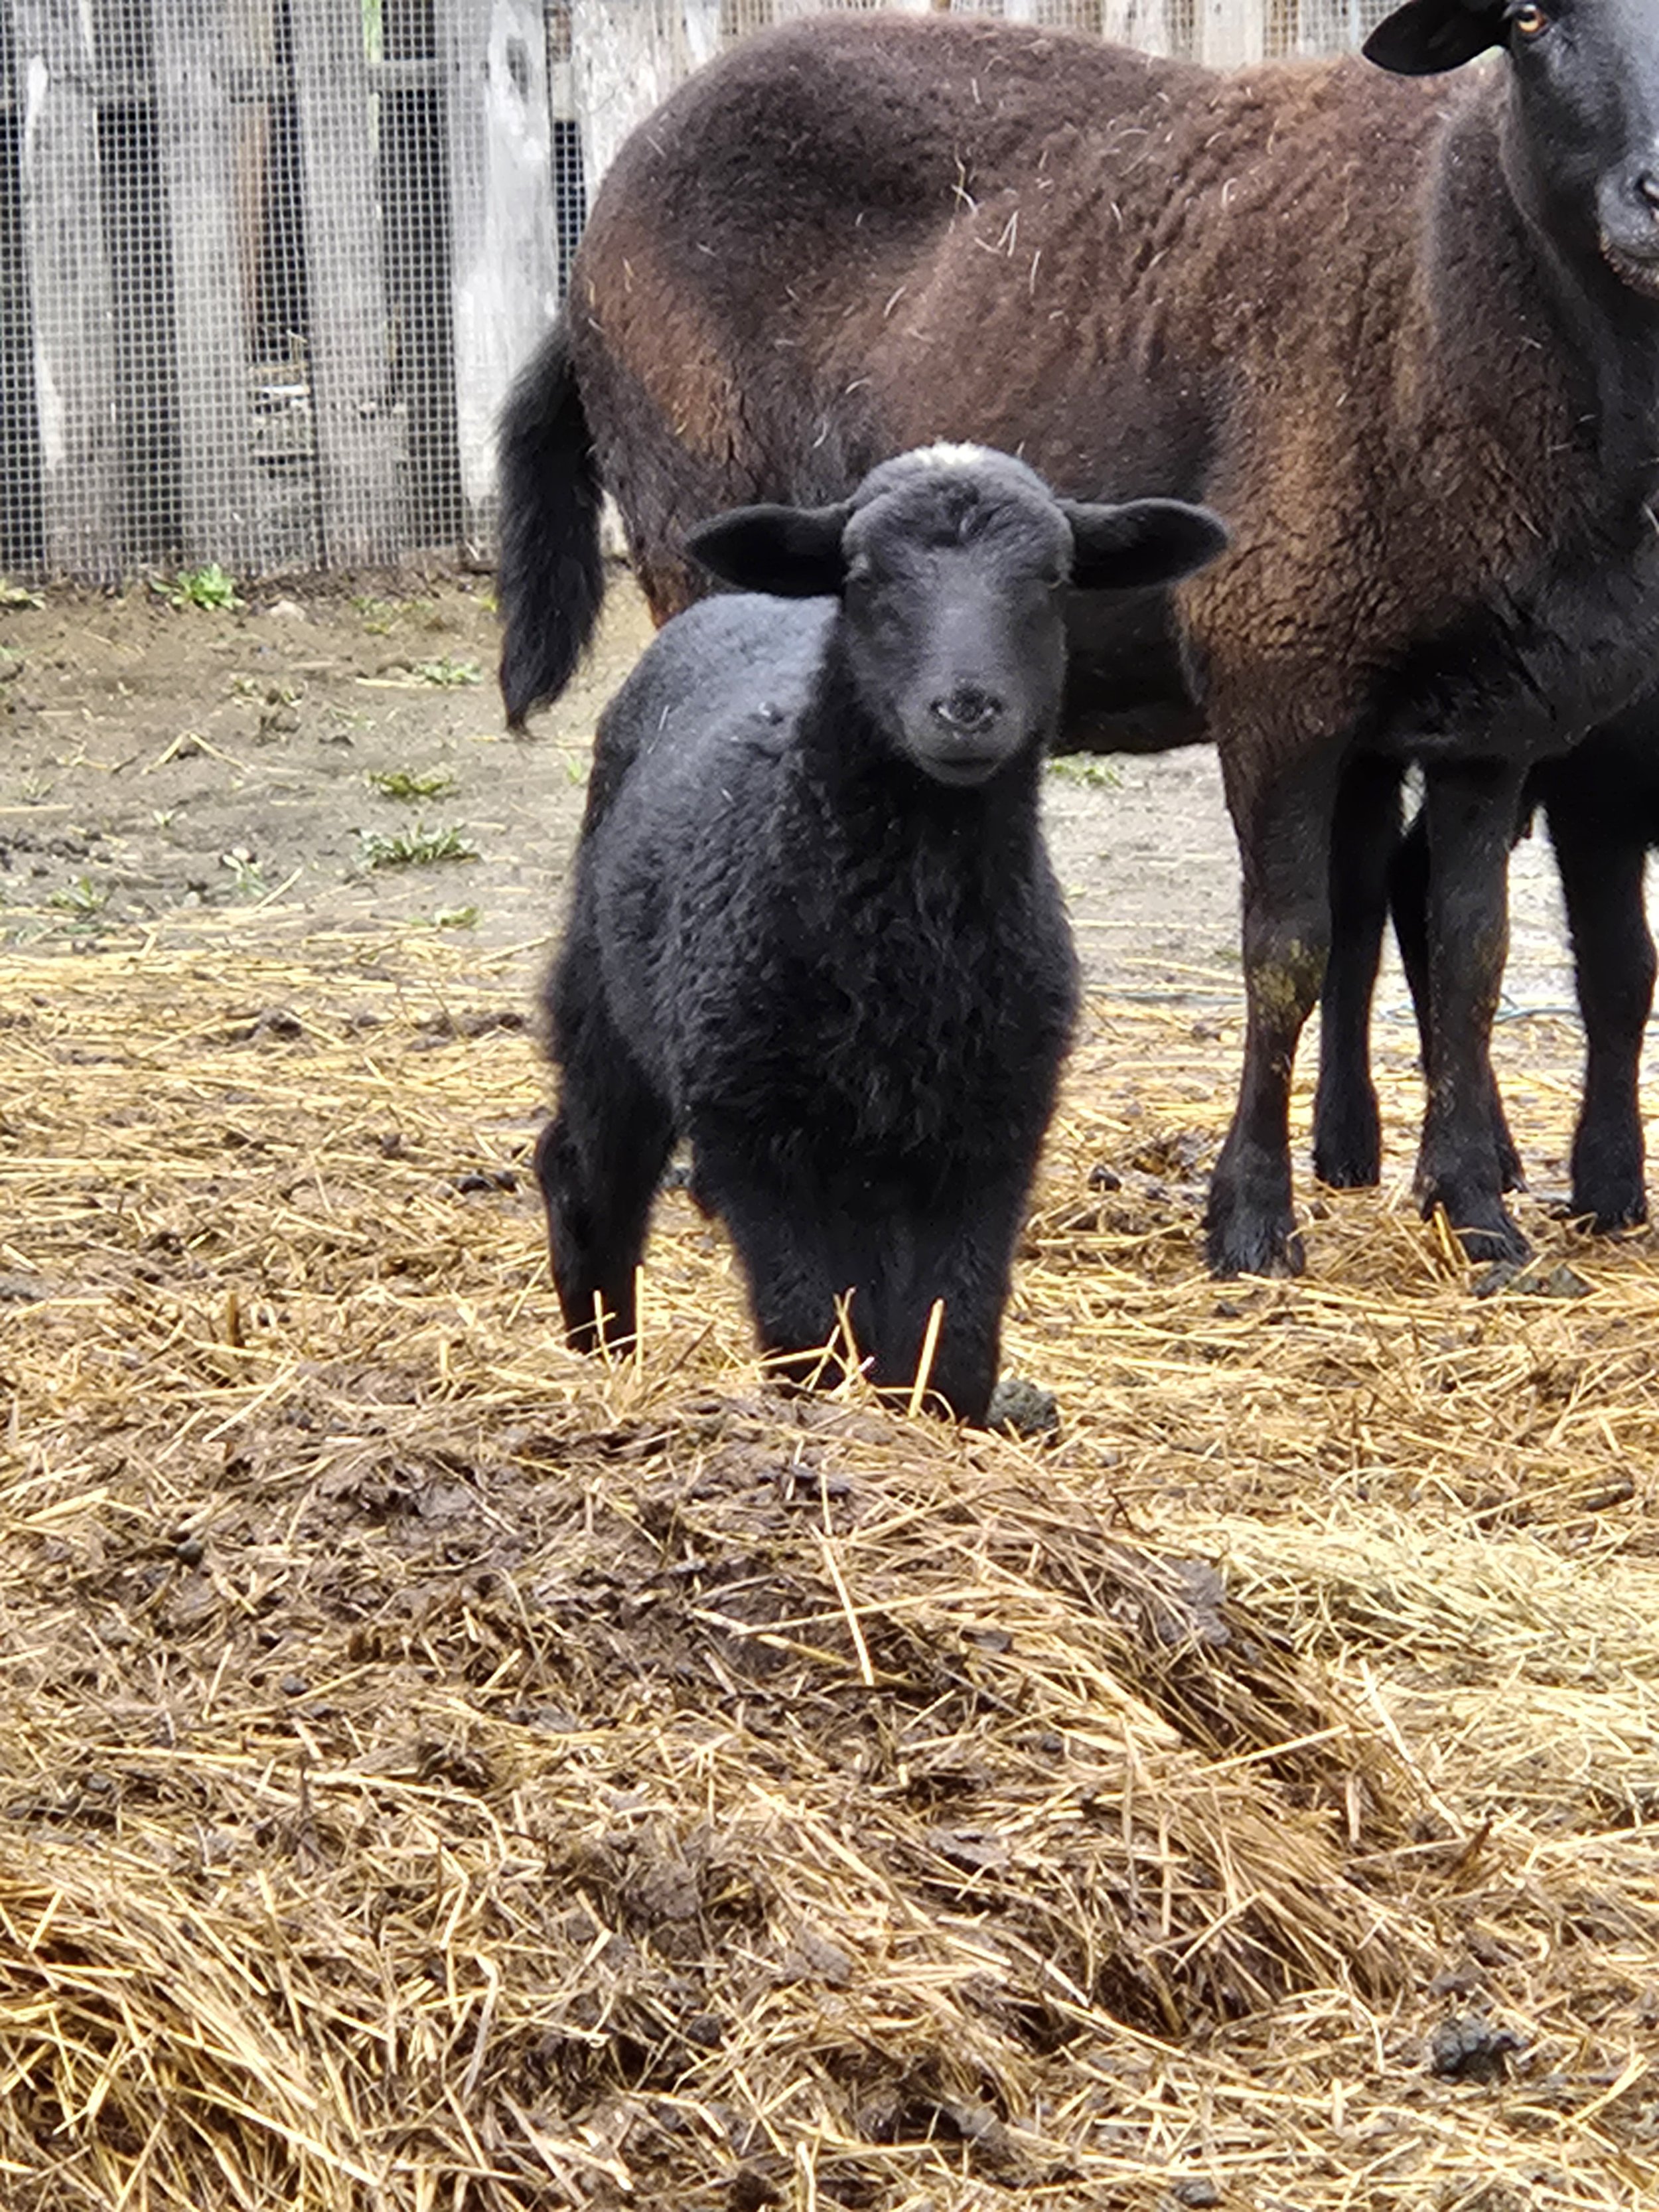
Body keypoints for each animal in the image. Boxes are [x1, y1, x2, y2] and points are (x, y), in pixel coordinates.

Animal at [499, 0, 1659, 1278]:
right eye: (1530, 19)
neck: (1449, 282)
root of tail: (598, 221)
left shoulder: (1498, 718)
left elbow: (1468, 959)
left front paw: (1478, 1216)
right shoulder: (1278, 662)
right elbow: (1285, 953)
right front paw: (1251, 1221)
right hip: (698, 531)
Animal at [534, 445, 1227, 1421]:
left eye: (1054, 579)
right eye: (864, 576)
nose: (967, 707)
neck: (908, 941)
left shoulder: (993, 1132)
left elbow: (949, 1343)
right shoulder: (756, 1130)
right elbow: (809, 1335)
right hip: (609, 1003)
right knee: (589, 1173)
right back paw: (605, 1359)